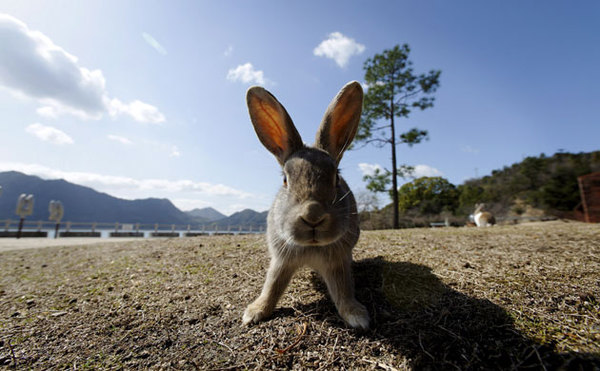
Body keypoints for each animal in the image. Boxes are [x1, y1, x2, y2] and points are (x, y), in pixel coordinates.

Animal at [241, 82, 368, 332]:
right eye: (285, 180)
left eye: (336, 178)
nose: (313, 215)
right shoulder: (282, 260)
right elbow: (272, 286)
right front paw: (254, 313)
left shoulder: (338, 261)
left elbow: (343, 290)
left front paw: (357, 316)